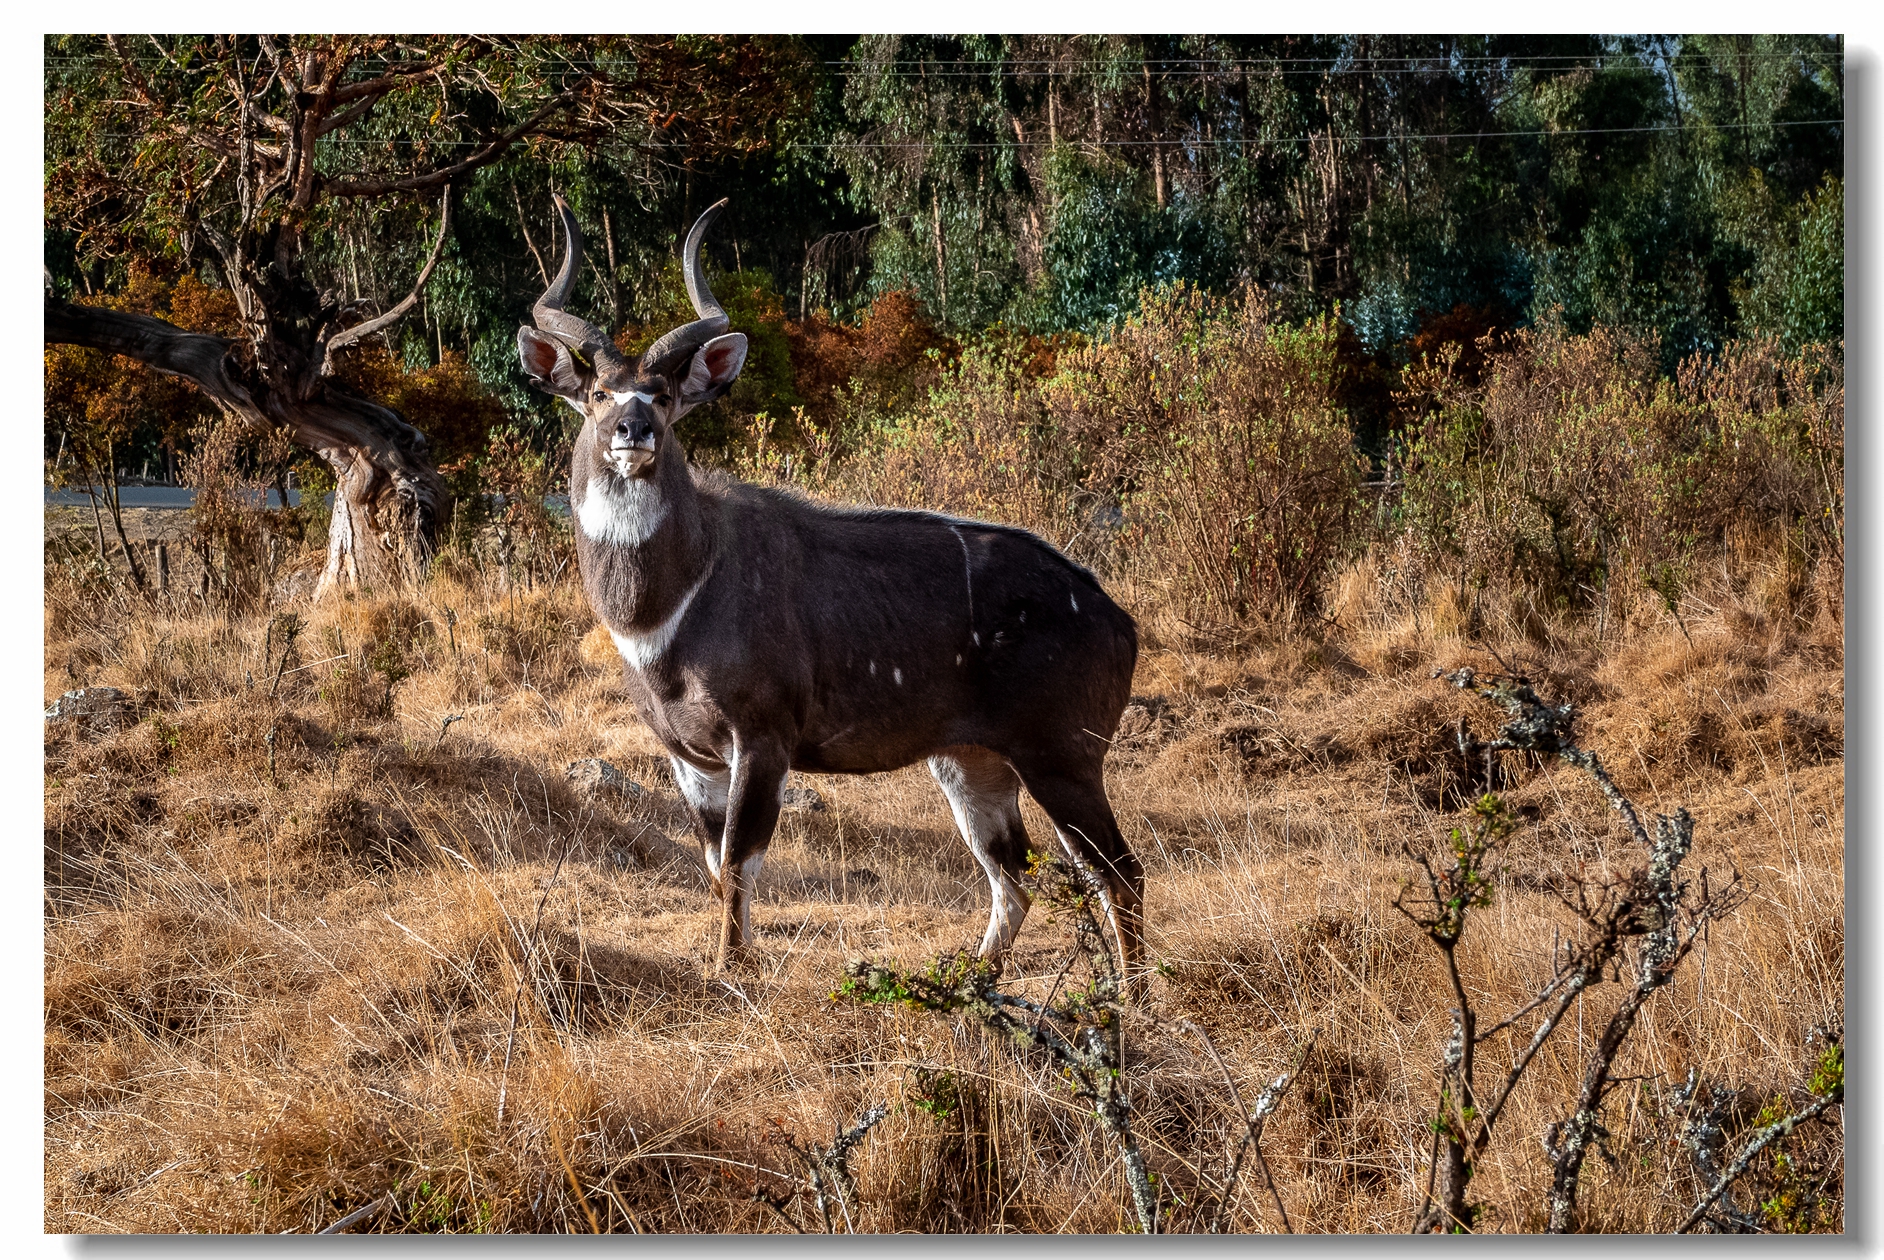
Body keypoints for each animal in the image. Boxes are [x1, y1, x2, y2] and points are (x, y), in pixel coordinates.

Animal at [516, 196, 1137, 971]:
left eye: (660, 396)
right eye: (598, 393)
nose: (634, 430)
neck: (672, 606)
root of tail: (1121, 623)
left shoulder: (763, 737)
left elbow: (741, 860)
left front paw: (731, 969)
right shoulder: (688, 756)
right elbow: (715, 863)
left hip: (1062, 755)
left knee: (1117, 871)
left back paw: (1131, 993)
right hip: (971, 762)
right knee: (1014, 874)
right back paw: (976, 978)